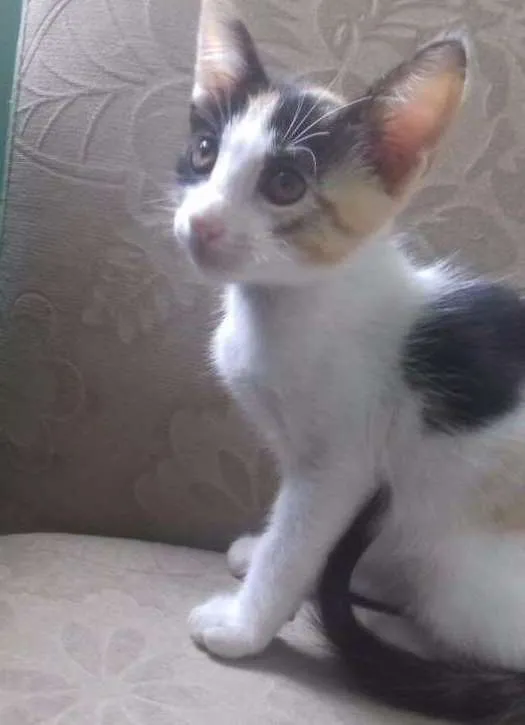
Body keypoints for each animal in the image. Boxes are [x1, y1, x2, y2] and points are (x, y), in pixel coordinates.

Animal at [174, 1, 525, 721]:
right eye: (204, 152)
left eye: (284, 184)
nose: (202, 224)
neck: (284, 307)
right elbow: (291, 530)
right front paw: (261, 551)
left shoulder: (338, 462)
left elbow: (297, 541)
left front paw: (245, 625)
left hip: (467, 566)